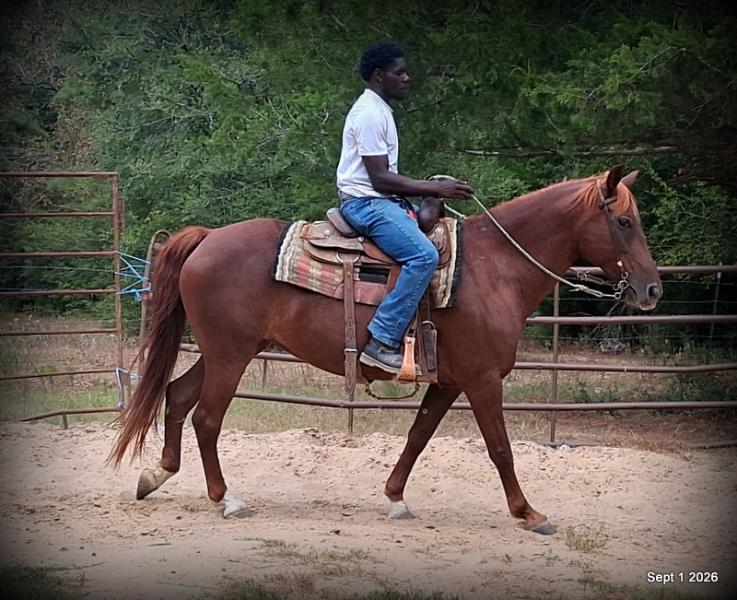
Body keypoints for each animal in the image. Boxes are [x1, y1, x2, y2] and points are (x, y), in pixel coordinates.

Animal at [110, 165, 662, 535]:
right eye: (625, 222)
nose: (652, 290)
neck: (494, 267)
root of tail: (205, 240)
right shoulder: (483, 380)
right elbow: (500, 448)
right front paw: (529, 513)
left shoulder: (451, 381)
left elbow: (418, 437)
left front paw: (395, 498)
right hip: (231, 355)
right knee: (206, 417)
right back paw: (226, 499)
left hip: (224, 351)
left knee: (178, 396)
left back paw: (155, 475)